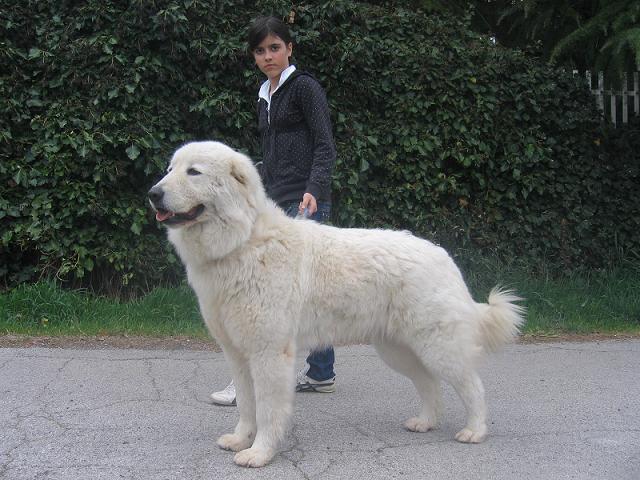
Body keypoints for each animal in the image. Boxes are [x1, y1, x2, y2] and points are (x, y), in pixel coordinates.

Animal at [148, 141, 525, 468]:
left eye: (194, 172)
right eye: (170, 169)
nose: (153, 194)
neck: (243, 241)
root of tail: (444, 256)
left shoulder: (269, 353)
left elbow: (268, 409)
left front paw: (260, 453)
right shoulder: (238, 354)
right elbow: (247, 405)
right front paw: (241, 439)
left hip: (437, 347)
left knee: (472, 386)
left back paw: (474, 431)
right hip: (398, 350)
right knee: (429, 384)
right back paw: (424, 422)